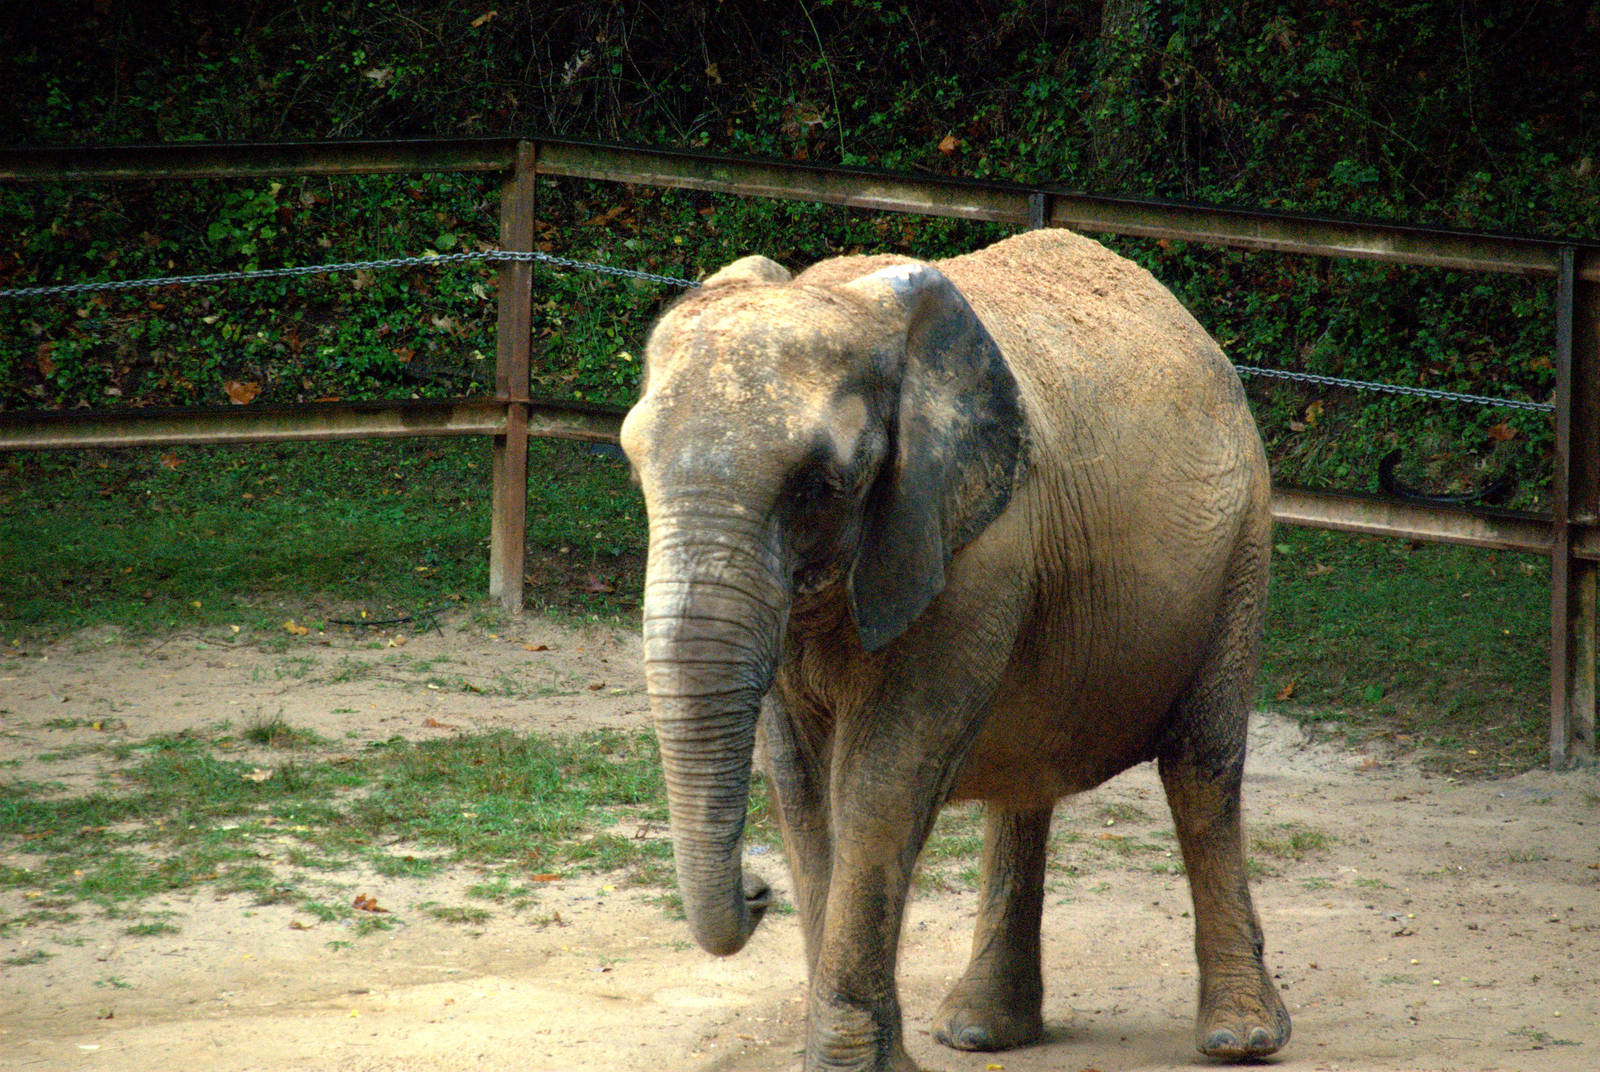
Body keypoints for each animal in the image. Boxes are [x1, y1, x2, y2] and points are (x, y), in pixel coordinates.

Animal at [618, 227, 1290, 1071]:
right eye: (633, 463)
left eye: (818, 486)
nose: (755, 890)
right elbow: (802, 786)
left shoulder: (977, 548)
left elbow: (879, 782)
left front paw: (858, 1066)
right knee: (1028, 786)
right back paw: (980, 1032)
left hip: (1242, 546)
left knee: (1203, 770)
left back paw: (1241, 1037)